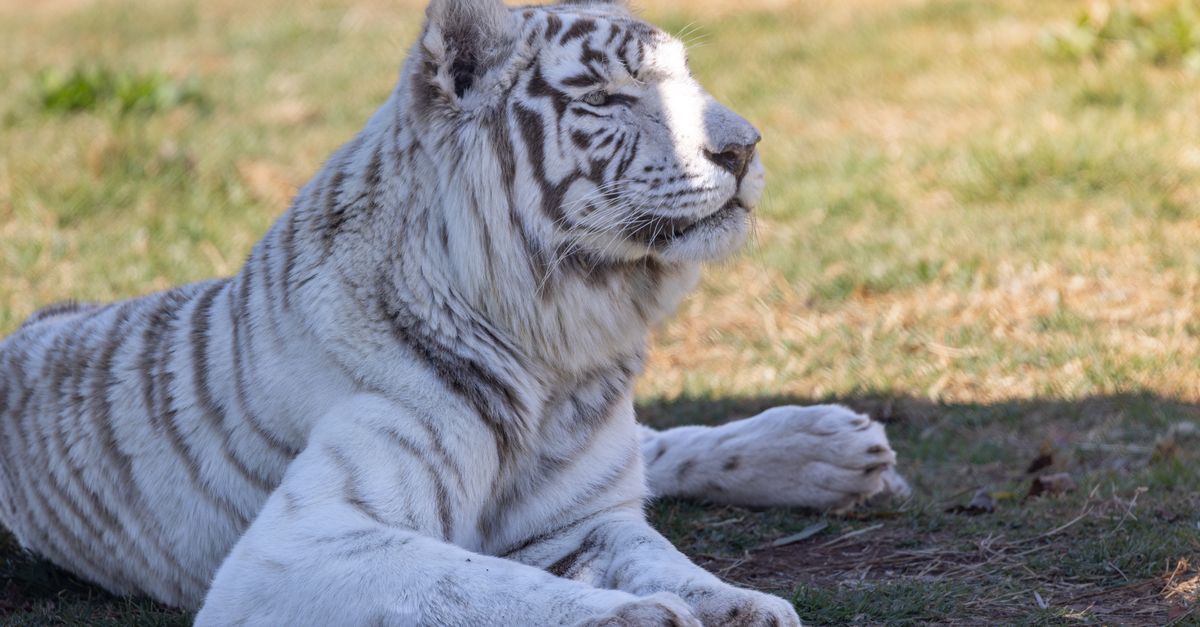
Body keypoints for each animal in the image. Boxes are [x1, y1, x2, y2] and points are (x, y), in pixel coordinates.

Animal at [0, 0, 908, 624]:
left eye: (688, 81)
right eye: (611, 96)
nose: (745, 146)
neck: (558, 355)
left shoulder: (585, 517)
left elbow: (664, 554)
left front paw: (740, 603)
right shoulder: (299, 544)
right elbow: (479, 584)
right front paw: (636, 617)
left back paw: (834, 448)